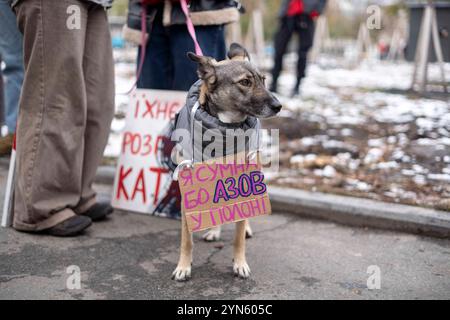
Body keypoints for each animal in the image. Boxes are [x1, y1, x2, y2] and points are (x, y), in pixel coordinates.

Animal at [172, 43, 282, 282]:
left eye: (263, 80)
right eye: (245, 82)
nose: (279, 106)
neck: (224, 128)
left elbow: (238, 237)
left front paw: (240, 264)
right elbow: (186, 239)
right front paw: (183, 266)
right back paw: (214, 230)